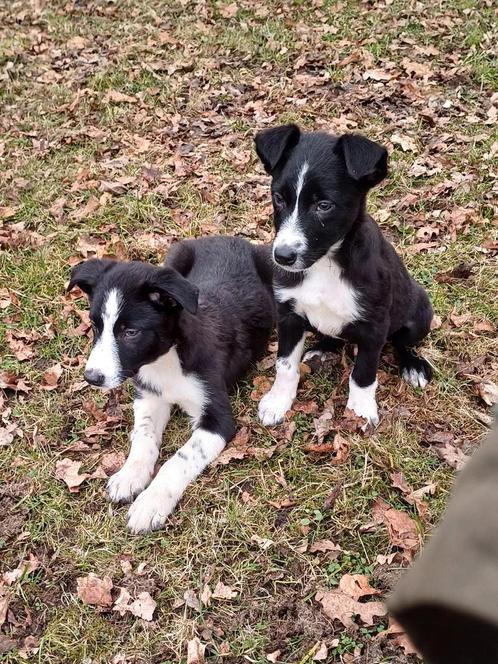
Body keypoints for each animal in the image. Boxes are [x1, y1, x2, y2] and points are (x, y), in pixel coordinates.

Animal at [253, 124, 432, 426]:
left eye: (324, 205)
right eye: (278, 198)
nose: (282, 257)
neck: (325, 264)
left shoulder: (374, 325)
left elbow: (363, 374)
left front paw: (359, 412)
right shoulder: (289, 315)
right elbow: (285, 364)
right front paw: (278, 402)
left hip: (419, 312)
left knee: (402, 343)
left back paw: (413, 366)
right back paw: (322, 350)